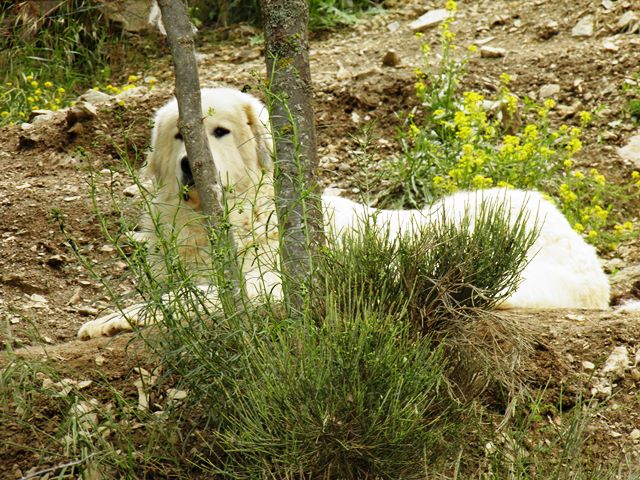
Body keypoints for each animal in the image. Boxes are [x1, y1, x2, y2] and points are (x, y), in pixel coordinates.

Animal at [76, 88, 608, 340]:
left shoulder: (273, 284)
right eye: (179, 135)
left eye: (220, 132)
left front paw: (112, 319)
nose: (190, 166)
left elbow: (188, 297)